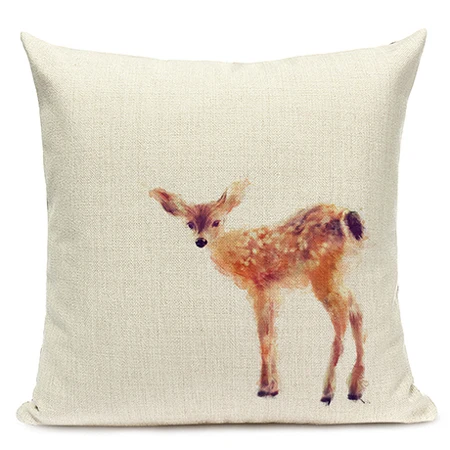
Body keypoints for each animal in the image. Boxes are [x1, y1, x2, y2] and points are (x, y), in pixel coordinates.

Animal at [149, 180, 366, 404]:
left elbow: (263, 335)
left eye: (216, 222)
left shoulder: (258, 287)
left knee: (341, 320)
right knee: (356, 311)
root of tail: (348, 216)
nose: (201, 241)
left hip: (323, 273)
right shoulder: (273, 291)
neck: (238, 253)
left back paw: (327, 391)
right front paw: (274, 387)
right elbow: (272, 333)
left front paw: (263, 387)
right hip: (340, 274)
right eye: (190, 224)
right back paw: (355, 388)